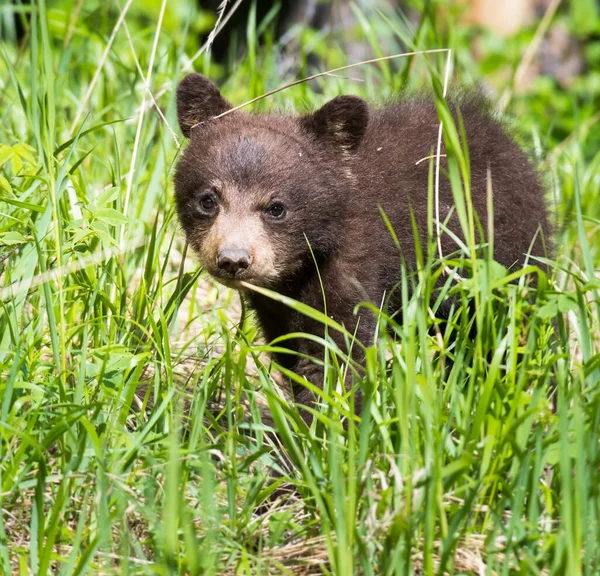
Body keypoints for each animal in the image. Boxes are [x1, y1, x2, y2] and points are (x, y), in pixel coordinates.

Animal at [171, 74, 552, 416]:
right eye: (208, 199)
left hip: (507, 257)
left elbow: (336, 353)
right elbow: (292, 351)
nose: (233, 259)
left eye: (276, 207)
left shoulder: (354, 264)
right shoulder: (275, 306)